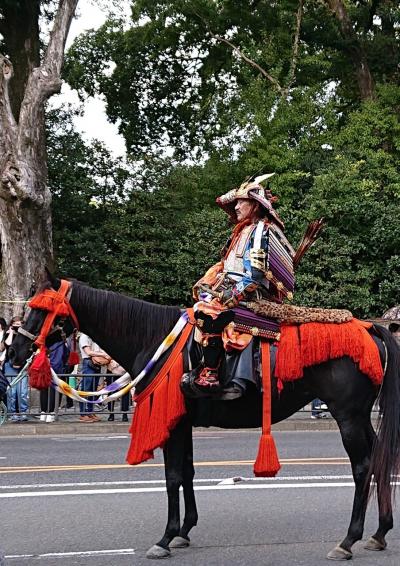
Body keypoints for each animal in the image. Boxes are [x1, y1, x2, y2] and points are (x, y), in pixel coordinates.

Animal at [8, 276, 400, 564]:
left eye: (40, 310)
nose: (13, 352)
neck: (152, 338)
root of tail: (370, 328)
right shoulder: (183, 421)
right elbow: (188, 472)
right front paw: (184, 531)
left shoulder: (173, 422)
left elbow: (172, 476)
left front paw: (166, 537)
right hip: (359, 416)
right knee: (379, 460)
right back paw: (379, 533)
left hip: (347, 416)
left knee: (363, 466)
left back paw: (348, 540)